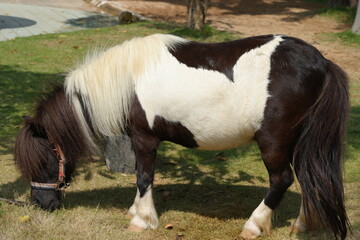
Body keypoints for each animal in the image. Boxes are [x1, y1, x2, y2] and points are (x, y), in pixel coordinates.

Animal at [13, 33, 348, 238]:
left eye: (44, 160)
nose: (42, 204)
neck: (127, 80)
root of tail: (322, 62)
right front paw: (137, 210)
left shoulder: (144, 138)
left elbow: (144, 177)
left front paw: (142, 219)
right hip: (298, 141)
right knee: (307, 178)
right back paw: (302, 225)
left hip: (274, 142)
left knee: (282, 180)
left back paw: (253, 226)